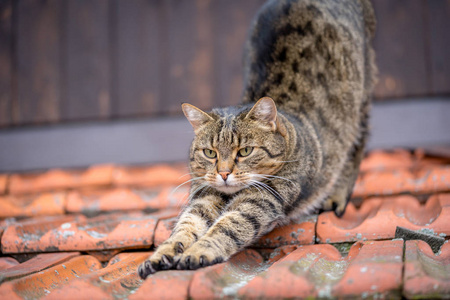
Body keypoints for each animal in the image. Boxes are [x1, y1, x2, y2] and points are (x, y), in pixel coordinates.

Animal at [137, 0, 376, 278]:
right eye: (210, 153)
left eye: (245, 151)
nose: (224, 173)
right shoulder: (204, 195)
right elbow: (185, 227)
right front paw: (161, 254)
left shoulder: (261, 199)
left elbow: (229, 225)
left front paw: (199, 251)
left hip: (361, 101)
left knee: (355, 147)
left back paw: (336, 196)